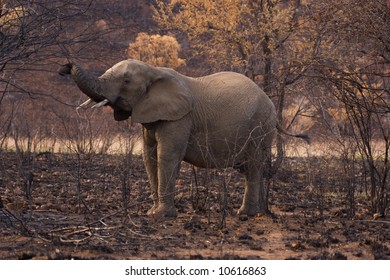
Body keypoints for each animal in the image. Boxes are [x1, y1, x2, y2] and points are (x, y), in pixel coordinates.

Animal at [58, 59, 308, 219]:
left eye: (126, 81)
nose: (65, 67)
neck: (154, 70)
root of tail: (271, 103)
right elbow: (149, 157)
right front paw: (152, 213)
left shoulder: (180, 117)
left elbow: (166, 155)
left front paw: (162, 217)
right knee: (251, 168)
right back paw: (260, 212)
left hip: (260, 126)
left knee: (254, 166)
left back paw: (246, 214)